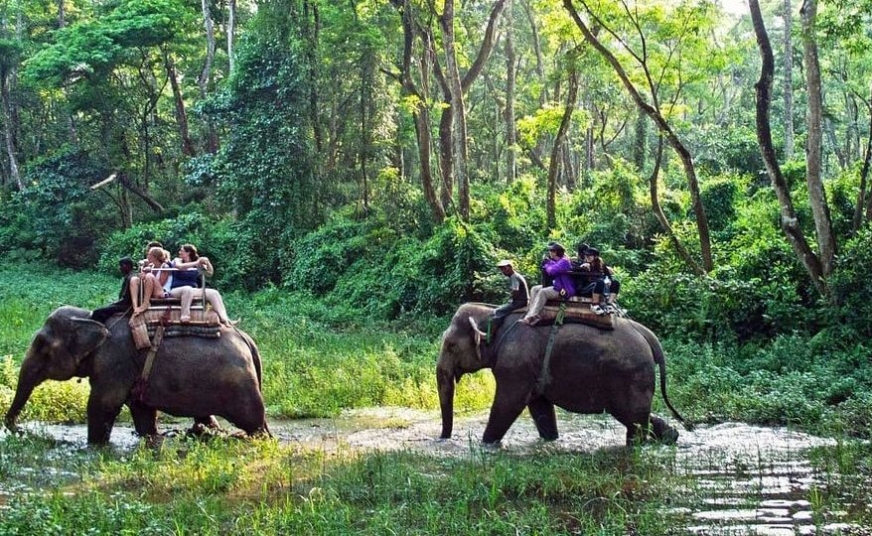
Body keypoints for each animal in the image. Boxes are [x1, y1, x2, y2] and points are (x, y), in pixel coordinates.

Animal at [4, 306, 270, 444]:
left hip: (240, 387)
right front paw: (151, 438)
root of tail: (247, 340)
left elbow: (103, 404)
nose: (20, 430)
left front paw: (95, 446)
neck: (90, 318)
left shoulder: (115, 361)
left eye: (42, 345)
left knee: (254, 422)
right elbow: (142, 410)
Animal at [440, 304, 692, 446]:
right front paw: (551, 440)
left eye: (451, 346)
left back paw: (637, 447)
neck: (493, 314)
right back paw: (672, 437)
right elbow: (539, 405)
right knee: (639, 416)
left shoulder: (515, 364)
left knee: (634, 421)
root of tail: (648, 336)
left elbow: (509, 403)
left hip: (630, 376)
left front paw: (486, 445)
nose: (443, 439)